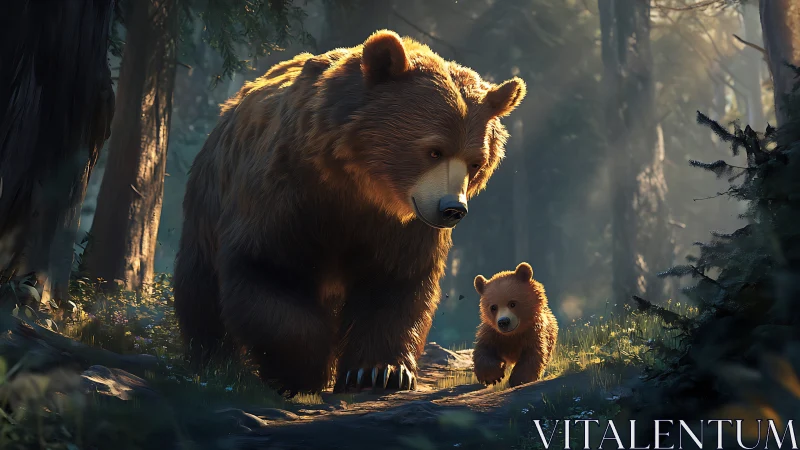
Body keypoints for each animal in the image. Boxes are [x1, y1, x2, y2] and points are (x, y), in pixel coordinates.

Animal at [172, 29, 526, 396]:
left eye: (475, 162)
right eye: (433, 150)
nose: (452, 209)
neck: (357, 186)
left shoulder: (400, 227)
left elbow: (393, 284)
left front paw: (380, 372)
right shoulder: (286, 195)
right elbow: (267, 267)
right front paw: (303, 369)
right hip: (209, 195)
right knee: (199, 281)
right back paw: (211, 360)